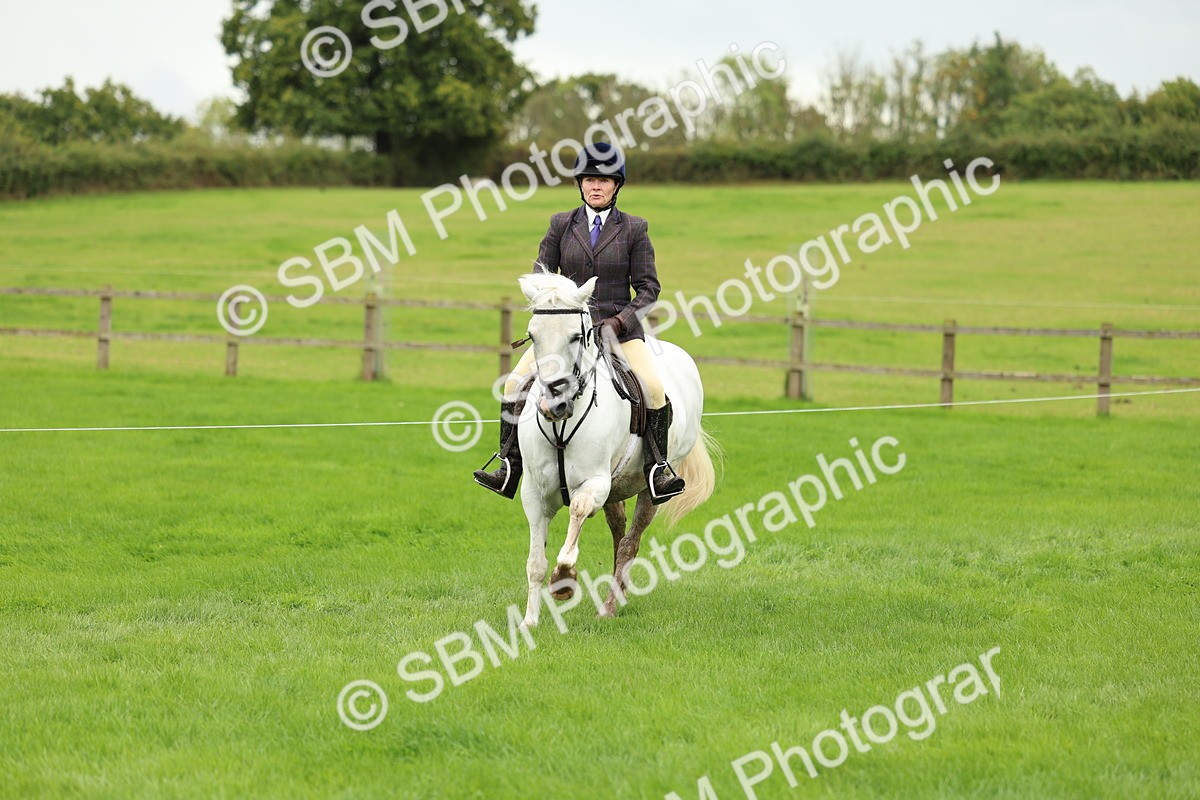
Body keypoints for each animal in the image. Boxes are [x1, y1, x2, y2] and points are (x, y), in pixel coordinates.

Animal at [512, 270, 718, 626]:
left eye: (575, 337)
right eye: (532, 335)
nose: (554, 404)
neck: (563, 424)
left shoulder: (595, 483)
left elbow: (578, 510)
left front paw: (564, 578)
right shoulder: (535, 492)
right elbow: (536, 563)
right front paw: (529, 622)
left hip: (649, 489)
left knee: (629, 544)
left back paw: (609, 606)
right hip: (617, 487)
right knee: (618, 532)